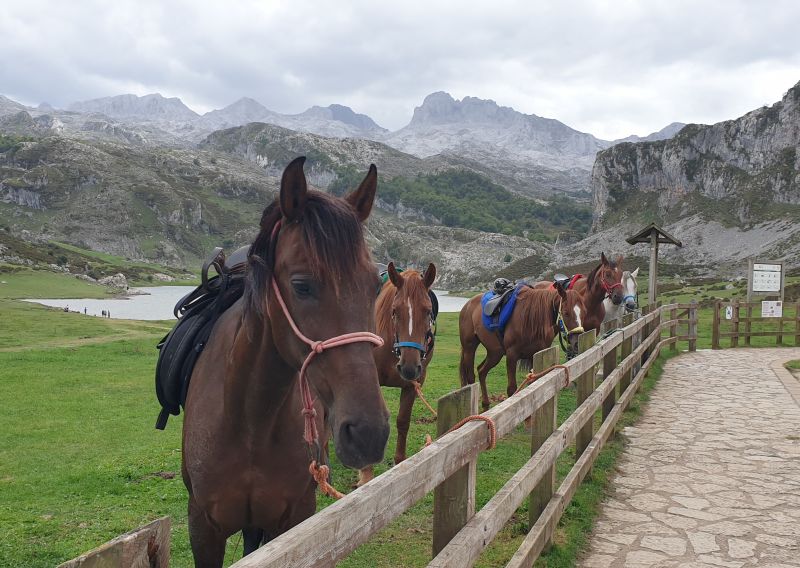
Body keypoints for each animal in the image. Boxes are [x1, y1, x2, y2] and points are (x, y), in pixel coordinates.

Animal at [182, 156, 394, 568]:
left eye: (374, 284)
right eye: (301, 285)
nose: (369, 432)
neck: (250, 420)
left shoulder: (294, 518)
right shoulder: (203, 525)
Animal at [358, 262, 438, 488]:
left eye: (428, 311)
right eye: (394, 311)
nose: (409, 367)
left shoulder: (412, 385)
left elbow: (403, 422)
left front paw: (400, 463)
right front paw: (366, 475)